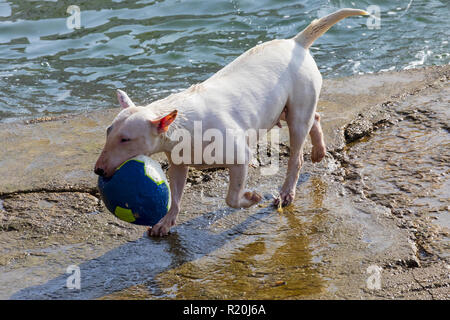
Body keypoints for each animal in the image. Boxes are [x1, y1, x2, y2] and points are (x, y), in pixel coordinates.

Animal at [95, 8, 370, 236]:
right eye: (108, 133)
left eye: (126, 139)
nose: (98, 170)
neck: (182, 123)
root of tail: (296, 42)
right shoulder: (178, 162)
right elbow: (176, 193)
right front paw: (165, 223)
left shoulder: (239, 156)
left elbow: (232, 197)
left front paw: (252, 198)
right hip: (282, 107)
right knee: (314, 117)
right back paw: (319, 150)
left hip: (299, 103)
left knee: (297, 150)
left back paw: (286, 192)